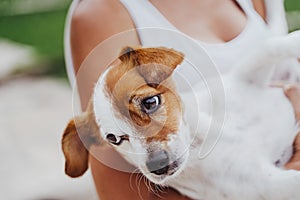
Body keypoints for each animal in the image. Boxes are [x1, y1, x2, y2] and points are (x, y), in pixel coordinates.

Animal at [61, 30, 300, 199]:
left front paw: (294, 41)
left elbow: (268, 47)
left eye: (150, 102)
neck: (208, 136)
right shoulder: (264, 184)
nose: (158, 166)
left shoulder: (246, 78)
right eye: (113, 139)